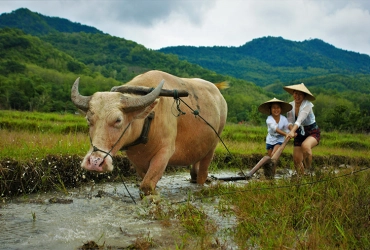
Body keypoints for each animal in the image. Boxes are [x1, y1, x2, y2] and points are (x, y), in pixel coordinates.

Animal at [71, 70, 227, 195]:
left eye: (118, 120)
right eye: (88, 119)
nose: (94, 162)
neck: (148, 121)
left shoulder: (165, 152)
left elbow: (146, 186)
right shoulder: (136, 160)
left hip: (213, 145)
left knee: (203, 172)